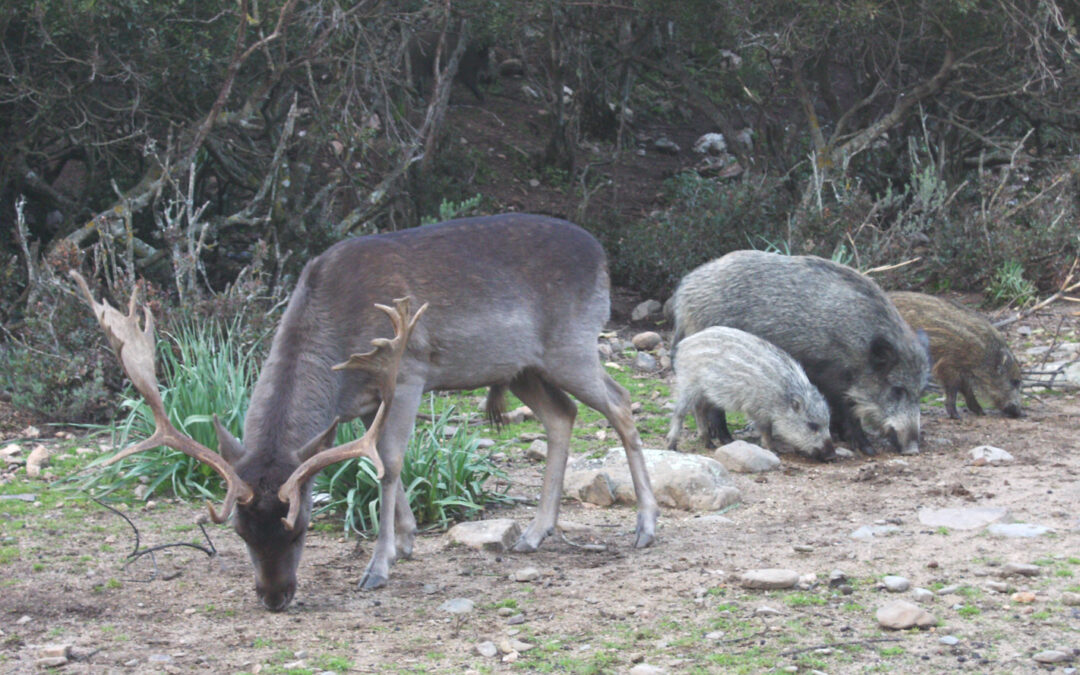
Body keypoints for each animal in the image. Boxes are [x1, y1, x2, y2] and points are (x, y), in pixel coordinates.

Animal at [73, 214, 656, 609]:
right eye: (240, 533)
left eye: (301, 529)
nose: (274, 597)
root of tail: (603, 255)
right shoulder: (359, 403)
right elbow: (368, 460)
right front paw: (407, 542)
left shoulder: (409, 370)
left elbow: (390, 464)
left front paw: (378, 567)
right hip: (521, 368)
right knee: (562, 416)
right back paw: (535, 534)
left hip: (572, 344)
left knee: (621, 404)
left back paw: (645, 527)